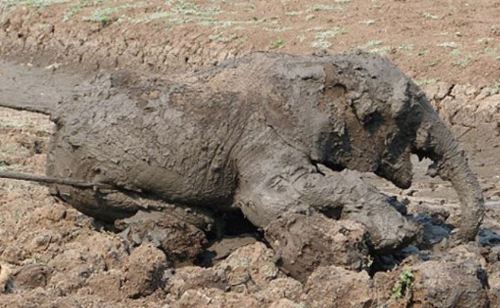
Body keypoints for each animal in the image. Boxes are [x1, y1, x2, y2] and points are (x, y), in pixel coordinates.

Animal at [0, 51, 484, 270]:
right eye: (403, 112)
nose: (449, 243)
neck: (318, 69)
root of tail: (59, 116)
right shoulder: (260, 140)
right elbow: (270, 197)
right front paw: (399, 236)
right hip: (87, 171)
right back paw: (188, 224)